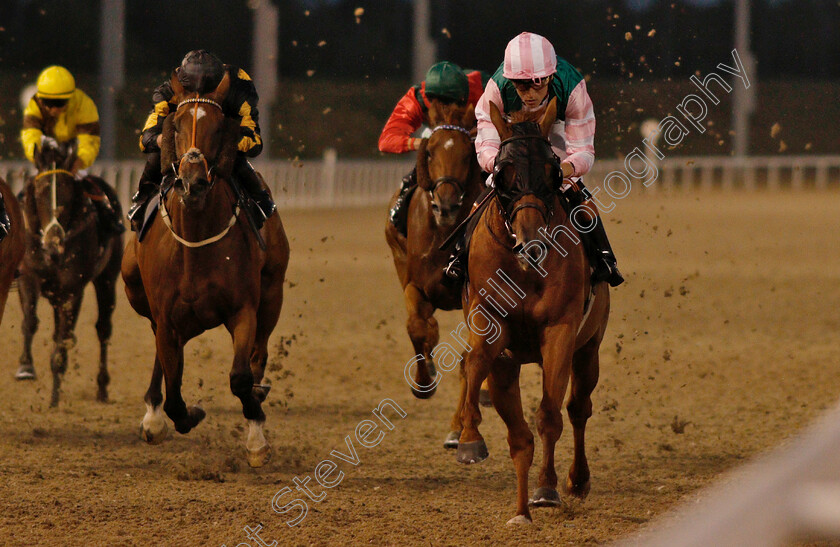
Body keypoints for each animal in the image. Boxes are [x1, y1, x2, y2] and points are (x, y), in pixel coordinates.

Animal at [16, 141, 124, 406]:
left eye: (67, 194)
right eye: (40, 193)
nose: (53, 243)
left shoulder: (73, 289)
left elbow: (63, 338)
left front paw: (55, 396)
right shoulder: (28, 275)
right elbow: (30, 321)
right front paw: (25, 368)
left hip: (107, 279)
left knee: (103, 329)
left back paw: (102, 387)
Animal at [120, 70, 292, 468]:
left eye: (217, 127)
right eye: (177, 124)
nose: (193, 181)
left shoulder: (243, 309)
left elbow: (240, 377)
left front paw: (256, 438)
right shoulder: (166, 316)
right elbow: (174, 396)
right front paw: (180, 415)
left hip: (272, 292)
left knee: (259, 352)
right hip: (135, 287)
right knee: (162, 352)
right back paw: (152, 416)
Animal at [384, 100, 482, 404]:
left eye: (468, 154)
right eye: (429, 152)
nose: (445, 205)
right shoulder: (415, 284)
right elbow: (417, 326)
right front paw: (423, 381)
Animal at [452, 99, 612, 528]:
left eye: (552, 171)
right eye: (501, 172)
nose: (532, 244)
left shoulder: (560, 332)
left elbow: (549, 417)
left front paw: (545, 489)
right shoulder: (492, 331)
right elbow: (476, 365)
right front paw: (469, 438)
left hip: (589, 348)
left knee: (577, 409)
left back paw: (577, 480)